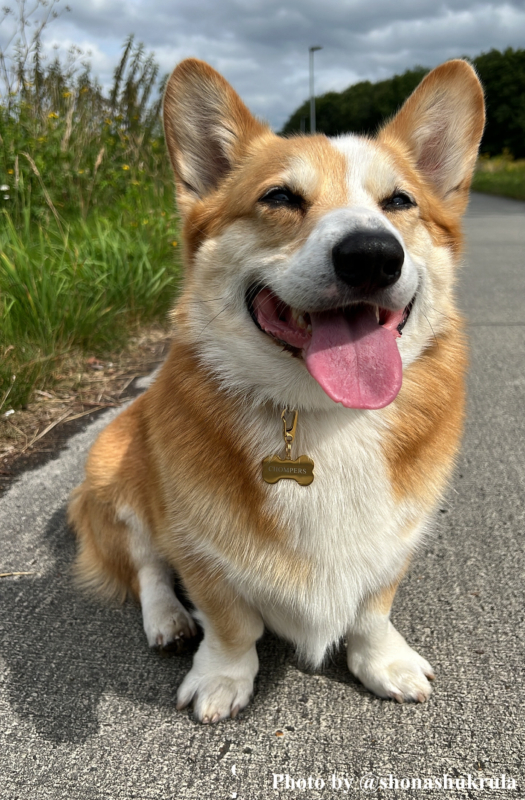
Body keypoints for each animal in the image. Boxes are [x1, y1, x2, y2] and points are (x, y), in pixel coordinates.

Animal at [67, 57, 486, 720]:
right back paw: (167, 621)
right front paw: (221, 678)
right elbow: (229, 622)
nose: (373, 254)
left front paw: (384, 662)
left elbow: (373, 608)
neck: (324, 415)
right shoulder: (199, 547)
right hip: (115, 473)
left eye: (399, 202)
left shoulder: (395, 541)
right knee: (145, 565)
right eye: (281, 197)